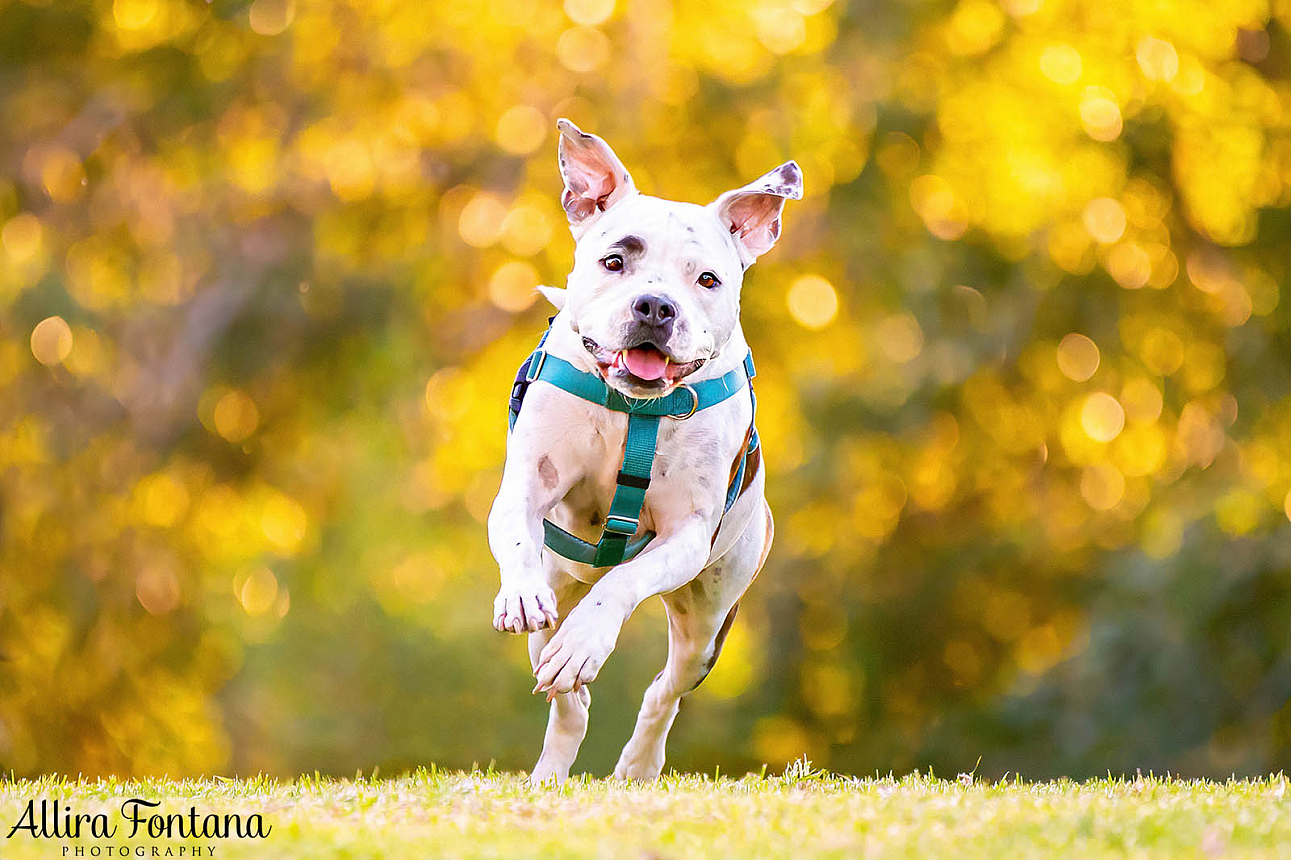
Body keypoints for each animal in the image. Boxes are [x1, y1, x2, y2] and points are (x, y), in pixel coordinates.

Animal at [487, 117, 800, 779]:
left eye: (707, 279)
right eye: (615, 261)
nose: (655, 306)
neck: (633, 410)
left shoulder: (686, 535)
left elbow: (623, 583)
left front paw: (587, 641)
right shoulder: (523, 488)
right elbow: (520, 539)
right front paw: (523, 597)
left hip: (708, 621)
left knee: (665, 690)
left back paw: (636, 762)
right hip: (560, 589)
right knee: (564, 690)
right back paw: (552, 763)